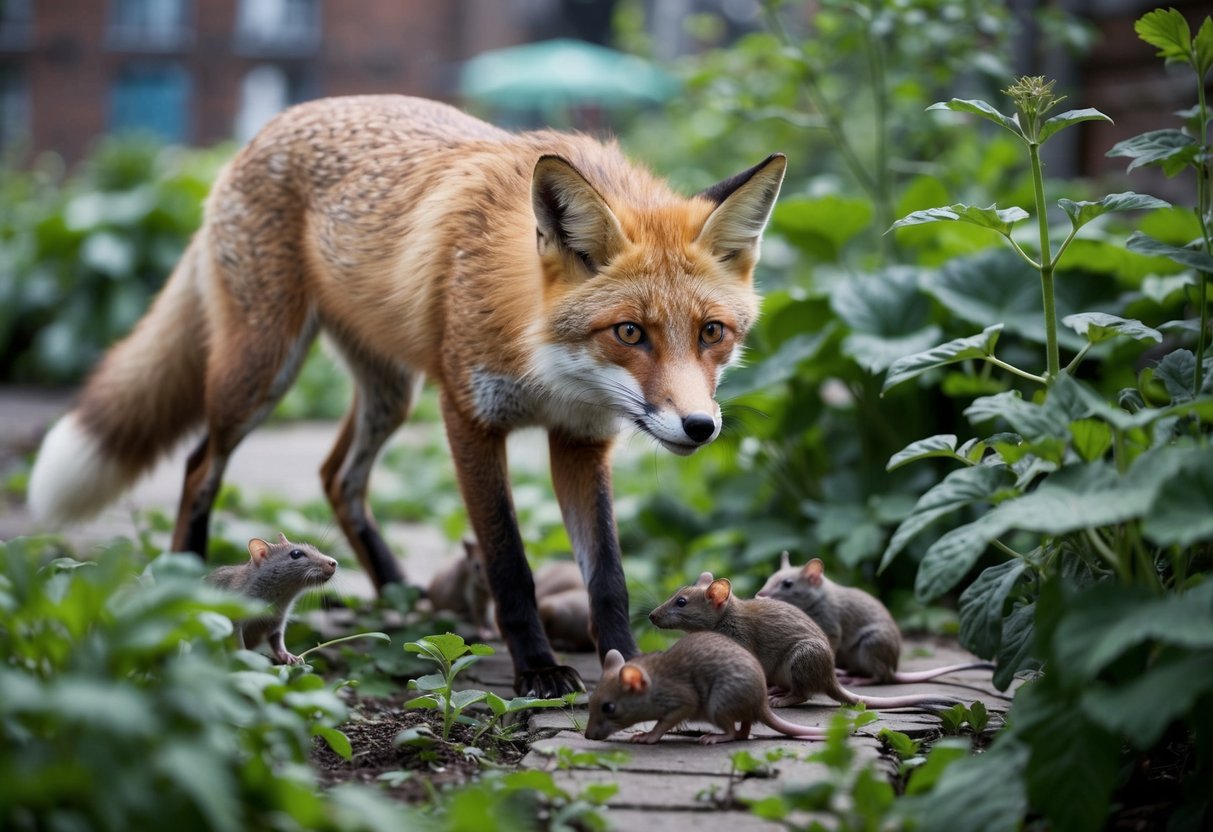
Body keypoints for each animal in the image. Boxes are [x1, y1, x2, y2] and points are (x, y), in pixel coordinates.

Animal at [28, 95, 786, 697]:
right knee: (198, 466)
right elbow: (510, 566)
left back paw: (397, 591)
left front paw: (627, 662)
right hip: (262, 372)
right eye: (630, 332)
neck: (548, 366)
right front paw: (538, 671)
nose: (698, 427)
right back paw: (189, 581)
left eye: (712, 332)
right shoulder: (468, 419)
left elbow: (608, 577)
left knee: (336, 475)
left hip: (389, 391)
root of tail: (270, 125)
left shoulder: (581, 441)